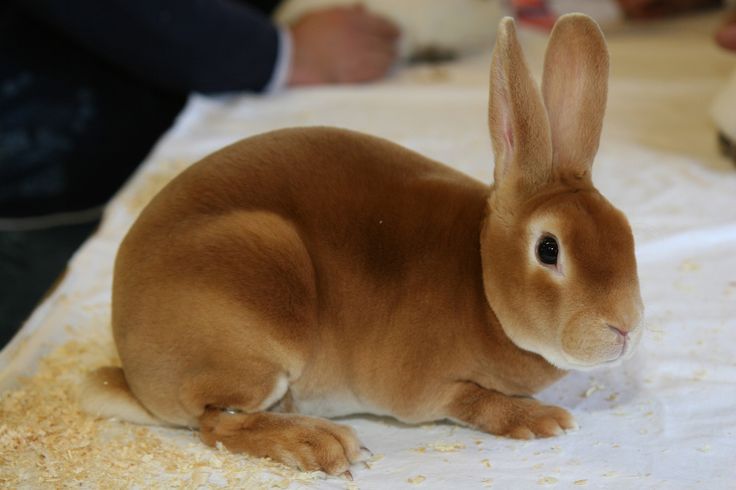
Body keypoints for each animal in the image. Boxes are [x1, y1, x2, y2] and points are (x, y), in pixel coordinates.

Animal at [83, 15, 640, 478]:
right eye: (549, 249)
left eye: (625, 228)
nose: (625, 329)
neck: (481, 281)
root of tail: (134, 372)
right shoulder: (429, 390)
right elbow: (474, 402)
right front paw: (542, 419)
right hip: (256, 325)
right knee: (216, 422)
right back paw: (320, 443)